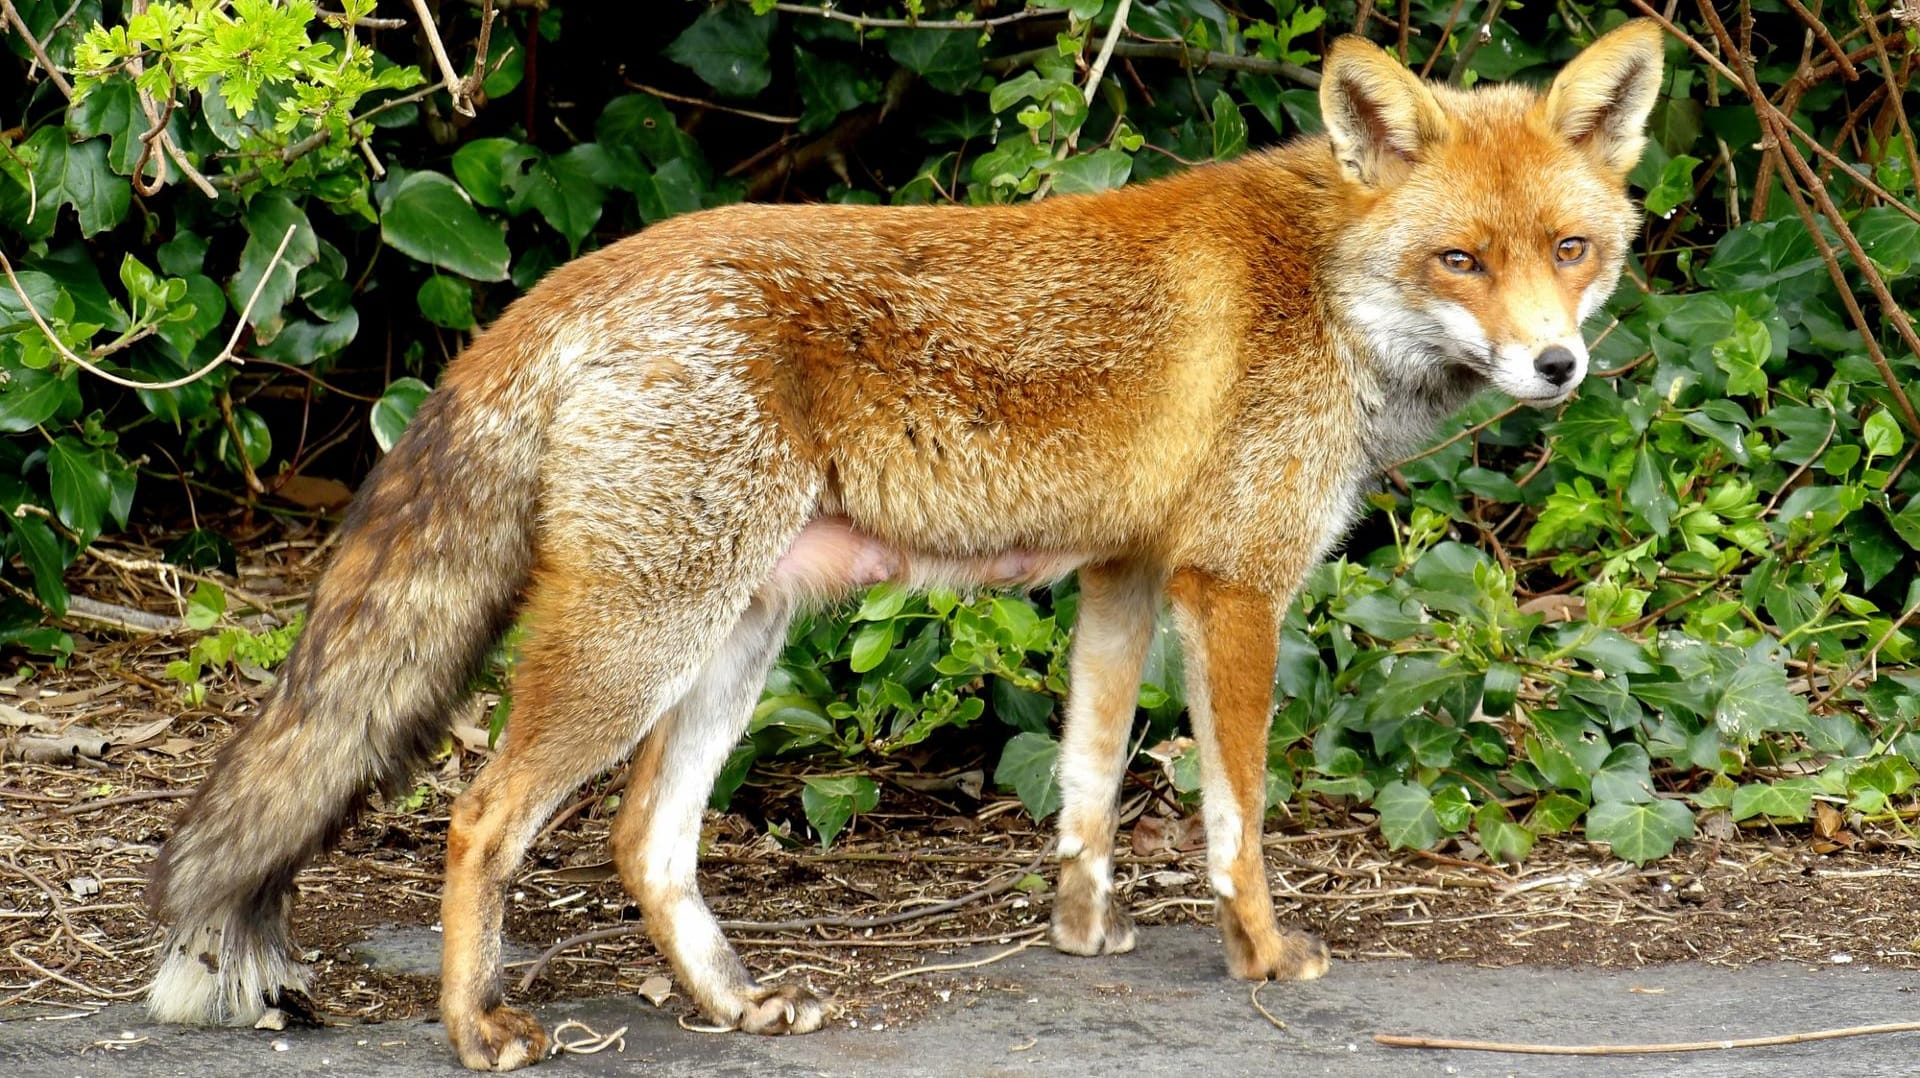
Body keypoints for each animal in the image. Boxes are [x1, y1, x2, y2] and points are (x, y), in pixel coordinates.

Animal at [142, 21, 1666, 1068]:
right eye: (1461, 260)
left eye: (1573, 249)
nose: (1557, 367)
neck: (1329, 289)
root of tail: (568, 281)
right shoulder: (1231, 582)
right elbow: (1237, 815)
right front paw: (1266, 952)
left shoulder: (1120, 572)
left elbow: (1087, 785)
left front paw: (1082, 933)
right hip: (644, 638)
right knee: (481, 816)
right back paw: (477, 1028)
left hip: (736, 636)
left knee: (645, 839)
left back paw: (733, 1002)